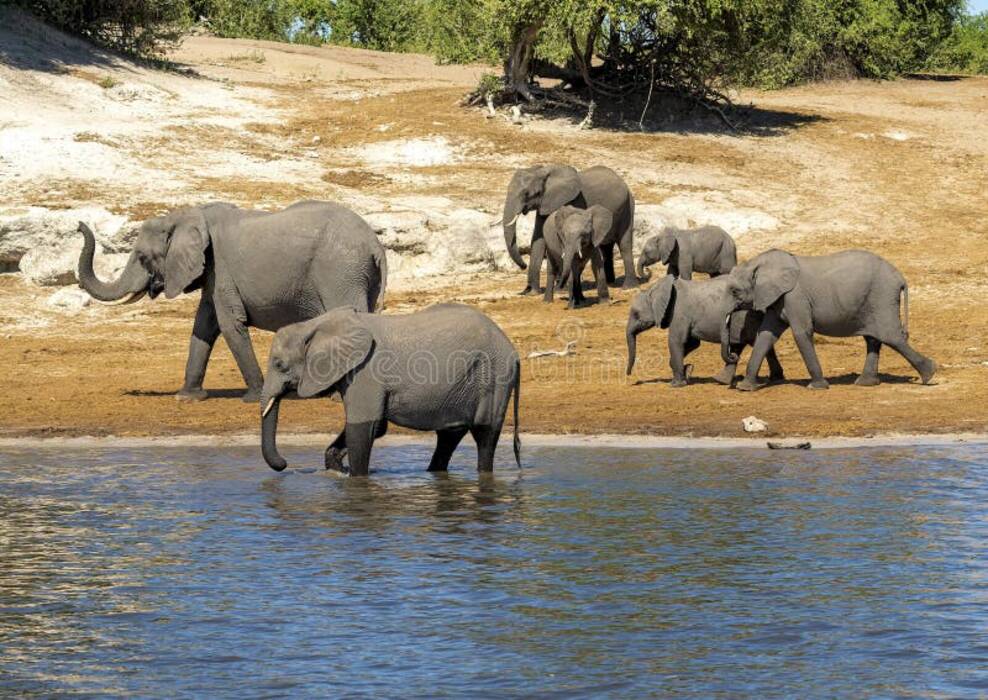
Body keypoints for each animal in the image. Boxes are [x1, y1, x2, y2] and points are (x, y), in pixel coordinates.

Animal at [77, 200, 388, 403]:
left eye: (142, 257)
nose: (80, 225)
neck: (189, 215)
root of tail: (375, 244)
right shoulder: (211, 273)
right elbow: (203, 326)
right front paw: (187, 398)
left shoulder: (221, 269)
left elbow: (229, 325)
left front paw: (254, 398)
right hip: (358, 274)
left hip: (340, 272)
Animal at [260, 304, 521, 476]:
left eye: (279, 365)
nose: (284, 464)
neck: (314, 325)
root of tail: (514, 351)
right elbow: (377, 427)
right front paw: (337, 468)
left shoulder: (366, 372)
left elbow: (363, 427)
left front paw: (355, 478)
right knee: (449, 436)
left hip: (495, 378)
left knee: (485, 436)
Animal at [501, 164, 638, 295]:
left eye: (527, 194)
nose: (523, 266)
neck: (544, 171)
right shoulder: (545, 204)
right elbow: (538, 239)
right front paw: (532, 292)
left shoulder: (574, 202)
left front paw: (561, 290)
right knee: (606, 247)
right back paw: (610, 283)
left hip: (628, 207)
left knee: (624, 245)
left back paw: (628, 287)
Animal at [626, 275, 784, 387]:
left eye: (636, 314)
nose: (629, 377)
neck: (655, 289)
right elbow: (692, 343)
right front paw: (688, 371)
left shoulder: (679, 312)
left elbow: (676, 341)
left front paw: (676, 384)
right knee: (745, 345)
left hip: (746, 318)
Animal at [721, 249, 937, 391]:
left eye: (734, 291)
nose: (733, 355)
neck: (761, 263)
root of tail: (901, 278)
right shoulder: (779, 300)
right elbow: (766, 335)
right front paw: (745, 388)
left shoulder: (795, 297)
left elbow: (802, 333)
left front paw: (817, 387)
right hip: (872, 302)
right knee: (873, 339)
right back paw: (865, 383)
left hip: (882, 297)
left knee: (891, 336)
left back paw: (929, 374)